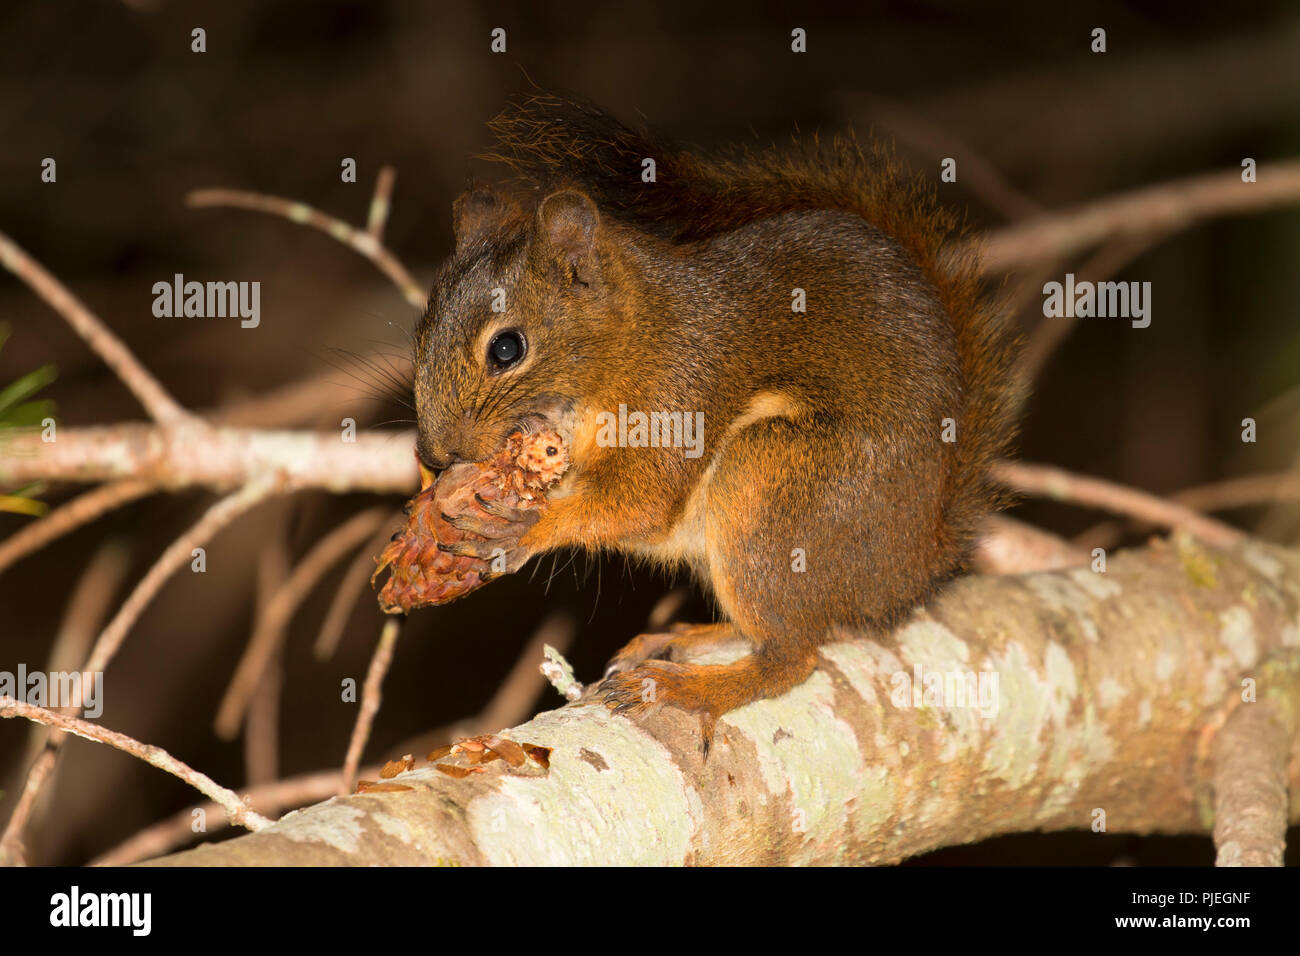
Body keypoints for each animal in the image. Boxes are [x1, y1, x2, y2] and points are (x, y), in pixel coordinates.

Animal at [412, 93, 1020, 748]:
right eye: (420, 332)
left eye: (507, 348)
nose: (434, 455)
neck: (631, 340)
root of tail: (911, 572)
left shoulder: (680, 394)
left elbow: (640, 503)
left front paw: (521, 528)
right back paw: (685, 638)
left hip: (771, 481)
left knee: (792, 655)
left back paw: (692, 686)